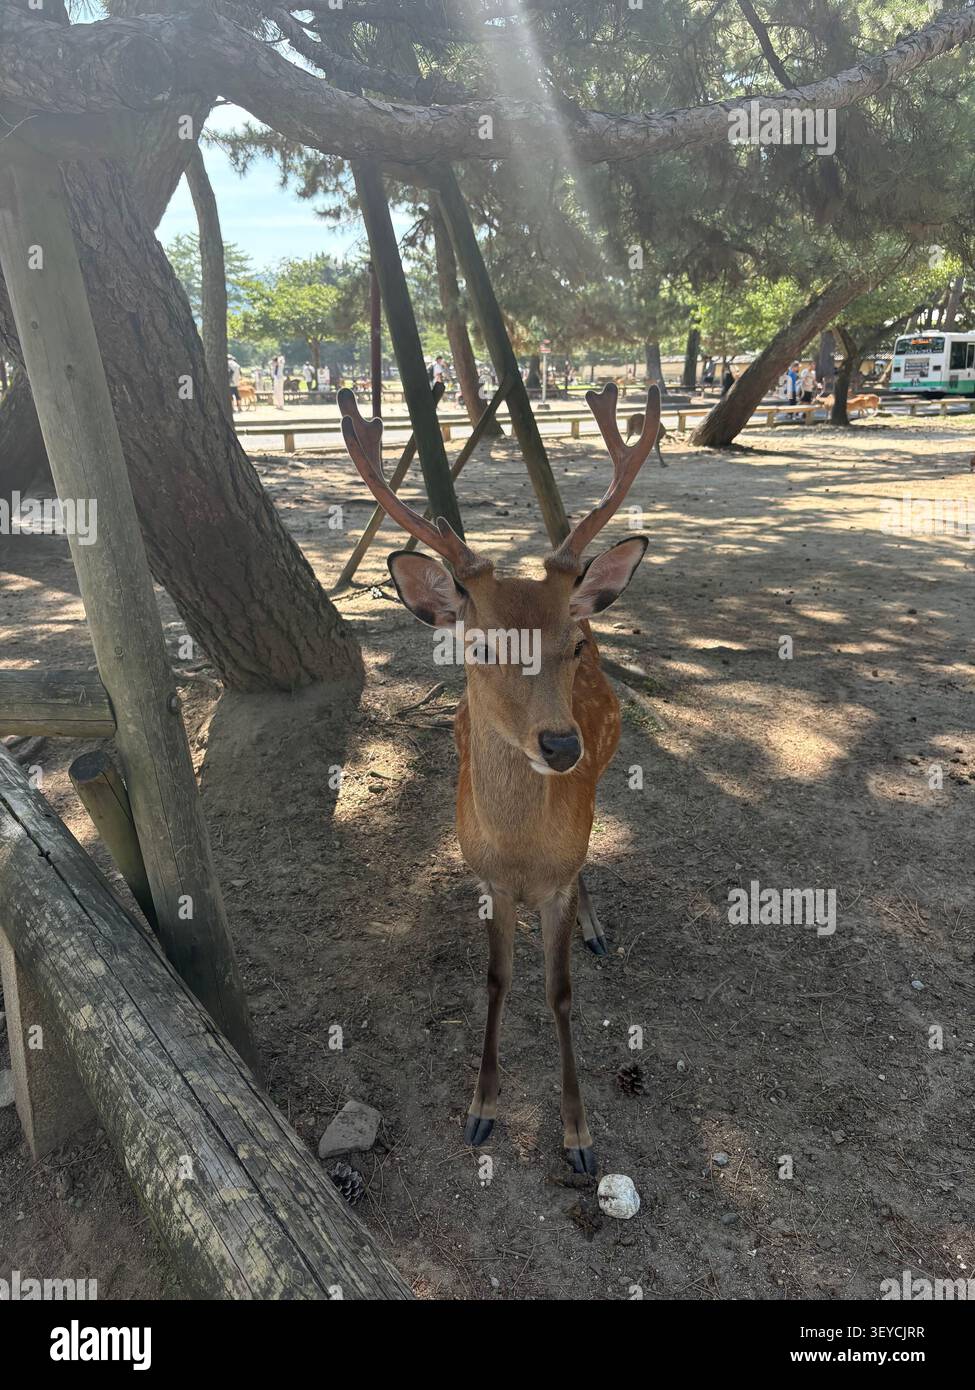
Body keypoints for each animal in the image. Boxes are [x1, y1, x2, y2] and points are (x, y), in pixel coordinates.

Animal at [339, 381, 660, 1175]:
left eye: (571, 646)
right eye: (482, 645)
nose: (562, 744)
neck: (518, 855)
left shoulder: (552, 879)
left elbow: (559, 992)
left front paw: (578, 1135)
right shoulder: (484, 877)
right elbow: (497, 980)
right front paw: (481, 1110)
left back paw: (597, 928)